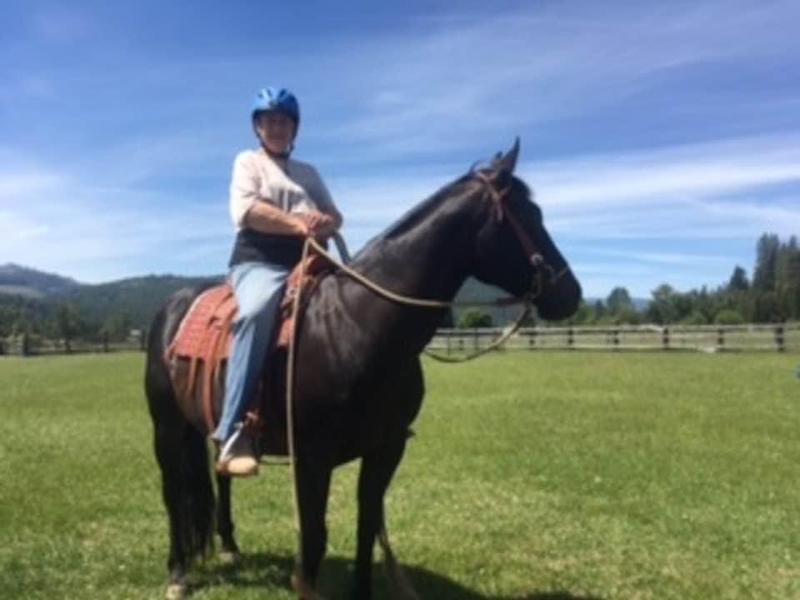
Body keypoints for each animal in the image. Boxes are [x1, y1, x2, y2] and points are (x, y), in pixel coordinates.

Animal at [144, 140, 582, 599]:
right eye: (530, 216)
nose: (570, 293)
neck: (355, 324)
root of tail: (173, 307)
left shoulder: (386, 449)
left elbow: (367, 529)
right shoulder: (313, 458)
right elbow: (314, 539)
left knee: (221, 473)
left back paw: (229, 547)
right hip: (167, 428)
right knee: (173, 492)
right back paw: (178, 572)